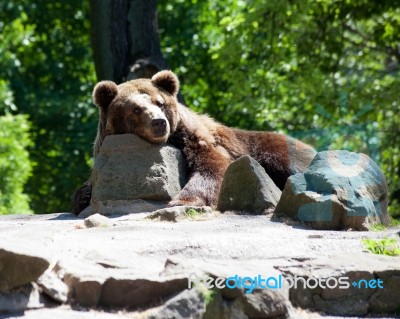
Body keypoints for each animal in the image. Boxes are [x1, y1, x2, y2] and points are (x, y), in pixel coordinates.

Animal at [72, 70, 316, 215]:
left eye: (159, 103)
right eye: (136, 109)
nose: (159, 123)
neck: (172, 138)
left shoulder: (196, 139)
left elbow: (213, 167)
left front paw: (182, 200)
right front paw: (82, 197)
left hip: (272, 149)